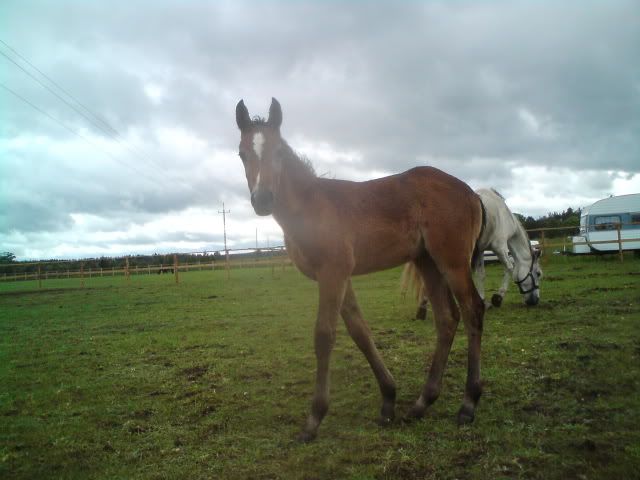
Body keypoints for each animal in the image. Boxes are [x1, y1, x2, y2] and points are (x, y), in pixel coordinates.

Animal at [235, 98, 486, 442]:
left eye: (278, 152)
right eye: (242, 153)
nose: (263, 200)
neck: (310, 208)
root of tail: (471, 192)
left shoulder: (333, 272)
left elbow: (324, 335)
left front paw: (314, 419)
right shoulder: (341, 276)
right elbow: (359, 331)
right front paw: (388, 400)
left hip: (452, 261)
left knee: (473, 310)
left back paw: (468, 404)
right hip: (427, 262)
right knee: (447, 319)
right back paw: (422, 402)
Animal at [404, 188, 542, 320]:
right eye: (538, 273)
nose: (535, 301)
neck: (503, 215)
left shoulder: (480, 249)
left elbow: (481, 274)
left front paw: (483, 300)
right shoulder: (500, 246)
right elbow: (510, 268)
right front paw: (498, 298)